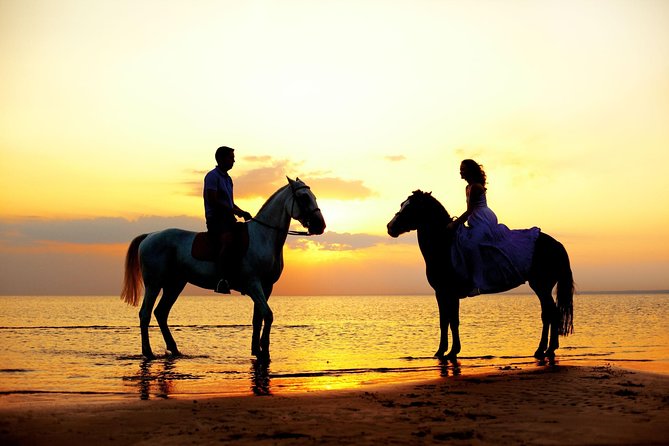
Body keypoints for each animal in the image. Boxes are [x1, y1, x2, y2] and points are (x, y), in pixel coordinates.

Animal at [121, 177, 325, 361]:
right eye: (303, 197)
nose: (320, 225)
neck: (263, 236)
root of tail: (149, 236)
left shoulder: (266, 286)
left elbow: (258, 317)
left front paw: (257, 350)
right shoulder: (253, 283)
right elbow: (268, 315)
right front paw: (265, 352)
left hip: (175, 284)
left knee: (161, 313)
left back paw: (175, 350)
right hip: (154, 284)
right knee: (145, 314)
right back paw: (148, 352)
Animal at [387, 190, 573, 361]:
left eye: (410, 207)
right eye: (402, 204)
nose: (390, 227)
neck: (445, 245)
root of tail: (556, 244)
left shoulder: (445, 292)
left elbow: (450, 321)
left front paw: (448, 352)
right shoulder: (445, 294)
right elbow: (447, 321)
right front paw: (446, 351)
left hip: (541, 285)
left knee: (551, 314)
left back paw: (548, 349)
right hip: (542, 287)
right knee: (548, 314)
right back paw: (543, 350)